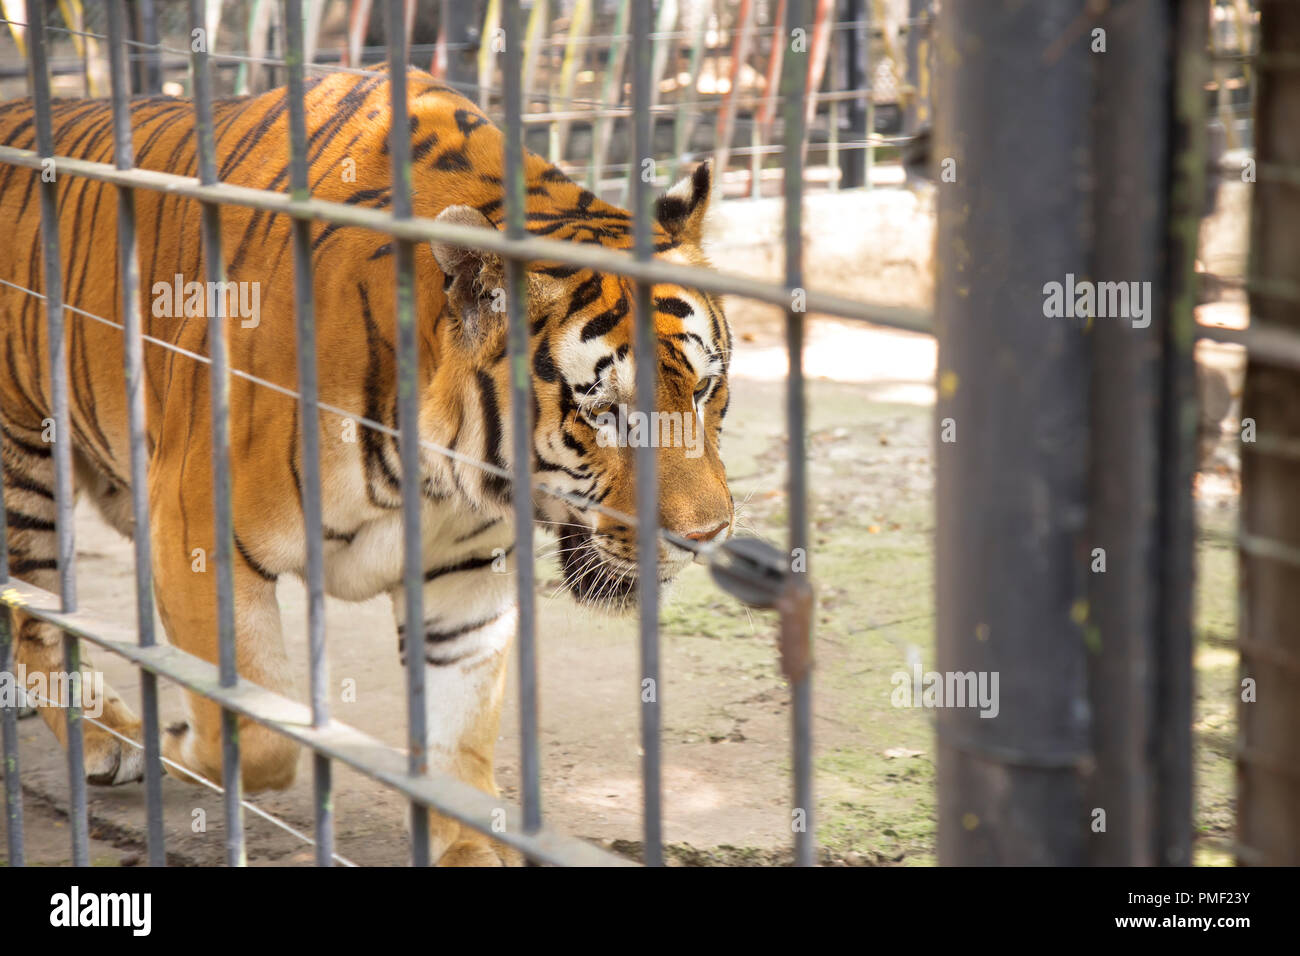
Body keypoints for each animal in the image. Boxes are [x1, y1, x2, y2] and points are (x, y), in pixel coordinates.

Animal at [0, 69, 733, 868]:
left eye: (704, 389)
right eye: (604, 411)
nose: (711, 534)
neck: (439, 474)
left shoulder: (465, 579)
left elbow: (456, 739)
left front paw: (469, 848)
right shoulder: (195, 535)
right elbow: (259, 730)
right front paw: (185, 742)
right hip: (25, 457)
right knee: (37, 614)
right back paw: (111, 739)